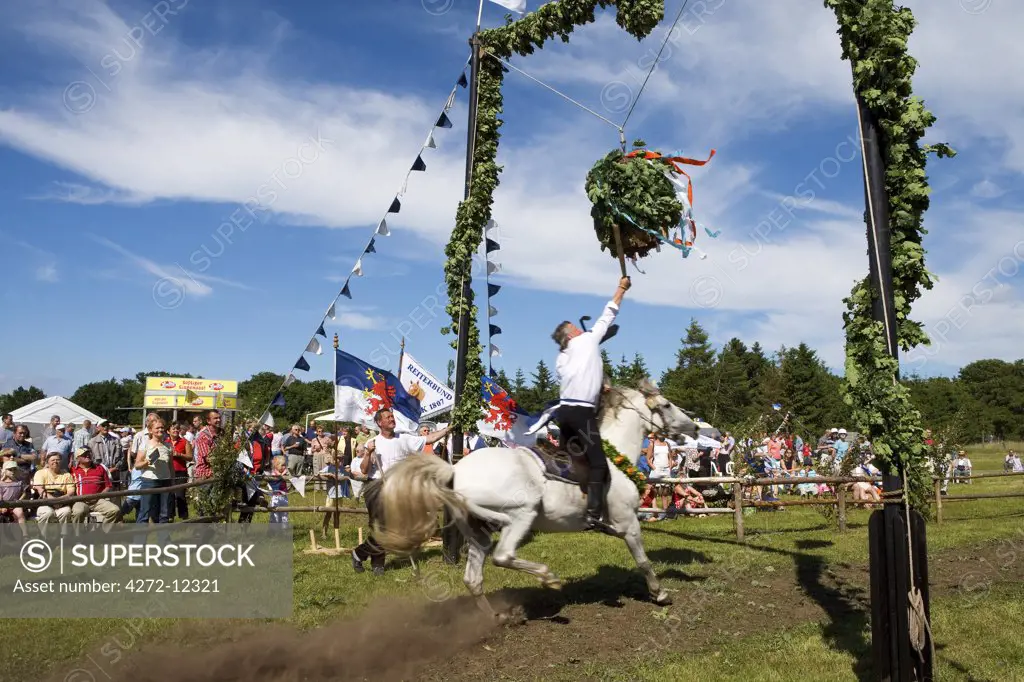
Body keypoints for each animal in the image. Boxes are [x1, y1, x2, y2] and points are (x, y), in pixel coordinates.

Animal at [372, 378, 700, 618]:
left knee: (473, 579)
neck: (615, 459)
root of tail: (454, 470)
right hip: (520, 515)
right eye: (667, 405)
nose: (695, 426)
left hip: (477, 532)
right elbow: (643, 561)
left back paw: (497, 618)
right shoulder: (628, 523)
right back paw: (547, 577)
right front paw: (660, 593)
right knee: (503, 556)